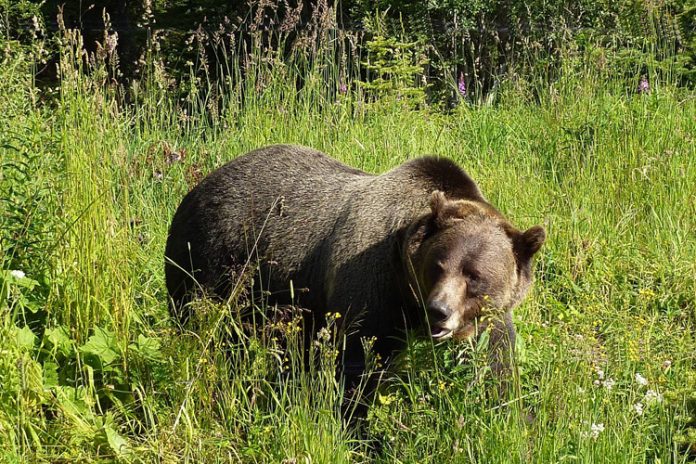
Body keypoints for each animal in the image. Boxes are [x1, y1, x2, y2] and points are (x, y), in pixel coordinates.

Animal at [166, 145, 548, 380]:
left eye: (475, 276)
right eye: (437, 265)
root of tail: (199, 184)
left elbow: (497, 360)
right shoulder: (372, 282)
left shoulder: (489, 315)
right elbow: (358, 358)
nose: (439, 311)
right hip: (211, 260)